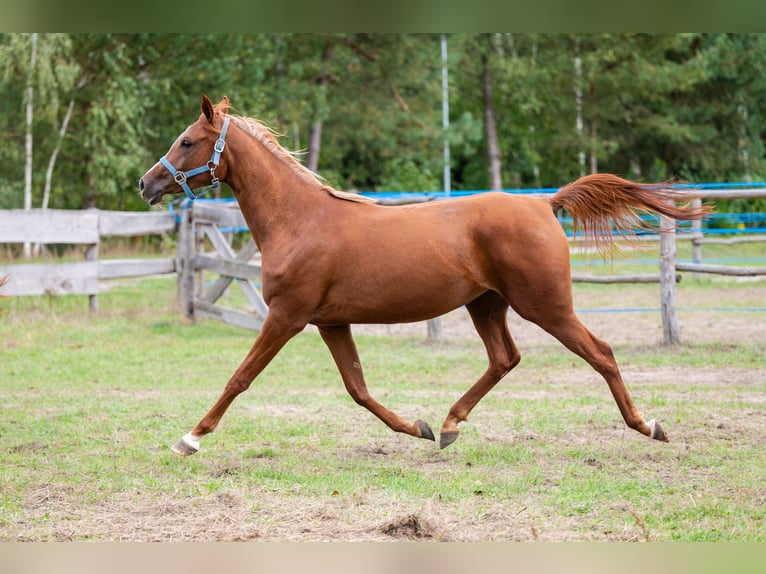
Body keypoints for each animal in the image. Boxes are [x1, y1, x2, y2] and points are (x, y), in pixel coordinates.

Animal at [138, 98, 708, 460]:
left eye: (187, 141)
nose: (146, 183)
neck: (299, 221)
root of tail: (544, 203)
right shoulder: (330, 323)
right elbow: (358, 389)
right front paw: (418, 427)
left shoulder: (286, 317)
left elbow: (240, 377)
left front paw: (190, 438)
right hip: (486, 304)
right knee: (505, 358)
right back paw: (450, 425)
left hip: (545, 306)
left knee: (601, 353)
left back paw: (649, 426)